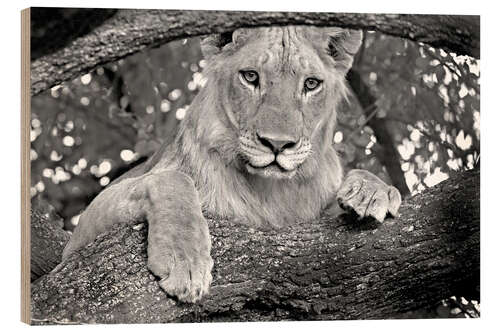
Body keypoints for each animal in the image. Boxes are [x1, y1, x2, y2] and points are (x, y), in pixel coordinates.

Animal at [60, 25, 400, 300]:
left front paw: (372, 192)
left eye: (311, 84)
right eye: (250, 77)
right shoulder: (76, 241)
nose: (278, 144)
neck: (272, 190)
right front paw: (184, 262)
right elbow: (173, 180)